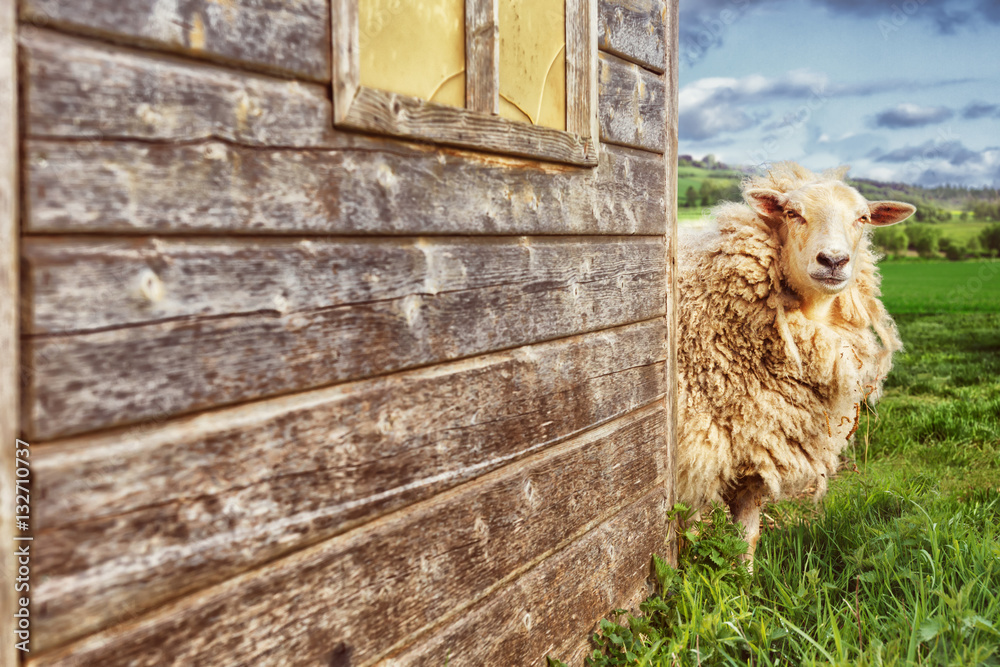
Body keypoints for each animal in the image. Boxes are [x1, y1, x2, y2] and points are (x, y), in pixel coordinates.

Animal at [676, 162, 915, 566]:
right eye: (792, 213)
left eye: (863, 218)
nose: (833, 261)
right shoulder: (695, 457)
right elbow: (683, 538)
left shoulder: (759, 452)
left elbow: (746, 537)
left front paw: (745, 579)